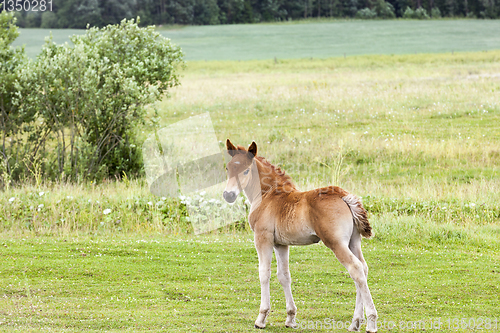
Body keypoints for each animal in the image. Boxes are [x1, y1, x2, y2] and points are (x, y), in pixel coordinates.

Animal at [225, 139, 376, 332]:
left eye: (246, 170)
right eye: (228, 168)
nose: (228, 195)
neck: (268, 195)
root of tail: (344, 196)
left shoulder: (262, 238)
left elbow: (264, 273)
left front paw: (261, 318)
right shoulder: (281, 244)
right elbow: (284, 276)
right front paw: (290, 318)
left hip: (336, 243)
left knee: (355, 268)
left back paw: (371, 322)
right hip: (354, 241)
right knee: (363, 268)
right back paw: (355, 322)